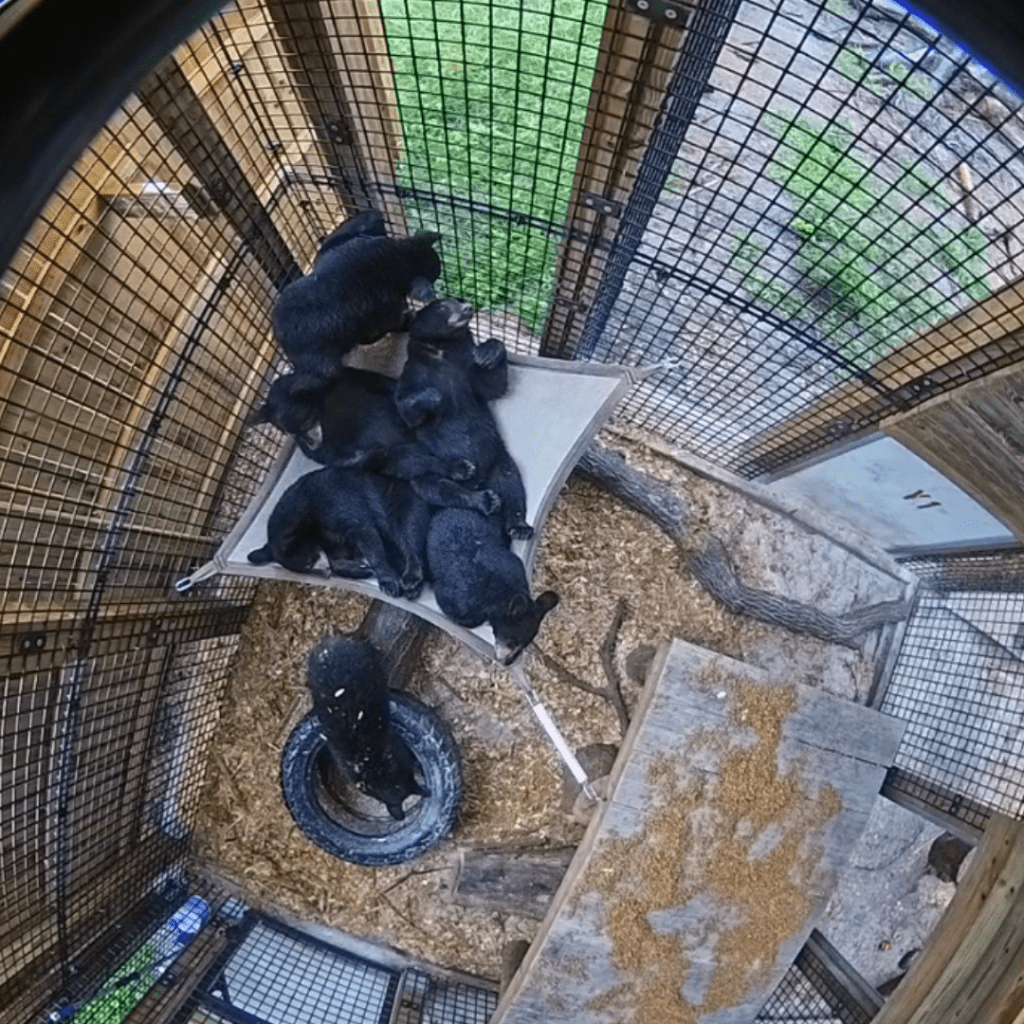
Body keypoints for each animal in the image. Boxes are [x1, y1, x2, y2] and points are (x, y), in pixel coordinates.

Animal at [247, 464, 431, 600]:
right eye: (308, 568)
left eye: (310, 562)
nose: (326, 573)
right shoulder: (328, 538)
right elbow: (340, 553)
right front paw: (359, 568)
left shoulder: (334, 501)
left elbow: (366, 533)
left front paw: (388, 582)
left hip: (401, 498)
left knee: (408, 530)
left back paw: (411, 579)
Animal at [271, 225, 442, 387]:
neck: (401, 258)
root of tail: (284, 340)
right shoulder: (389, 308)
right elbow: (395, 321)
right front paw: (408, 320)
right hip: (326, 367)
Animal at [395, 298, 532, 540]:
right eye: (442, 306)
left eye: (458, 300)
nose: (468, 308)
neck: (442, 350)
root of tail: (479, 482)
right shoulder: (413, 373)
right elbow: (408, 410)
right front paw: (435, 397)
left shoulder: (467, 368)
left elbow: (491, 386)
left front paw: (489, 352)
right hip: (429, 473)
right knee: (440, 488)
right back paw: (484, 499)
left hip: (498, 457)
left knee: (511, 483)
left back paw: (519, 526)